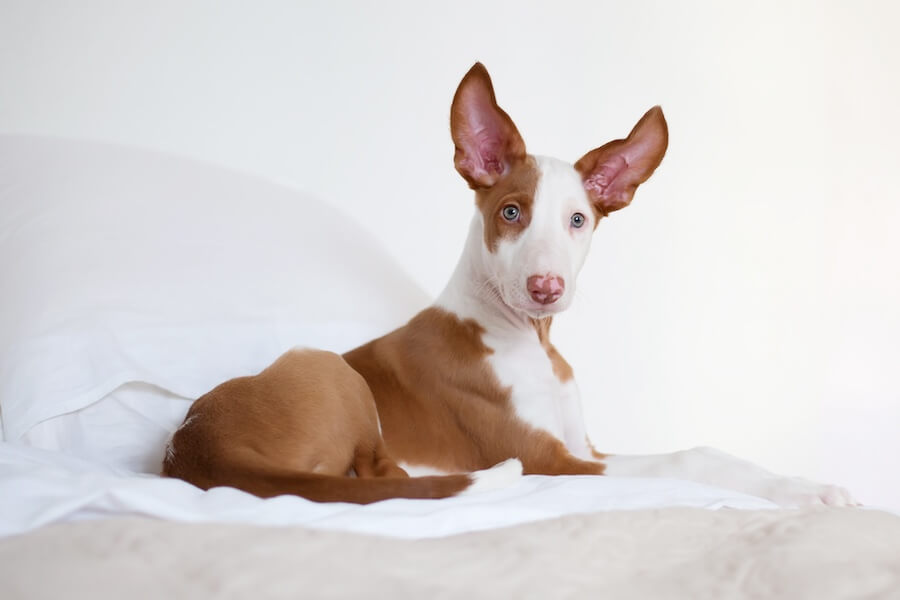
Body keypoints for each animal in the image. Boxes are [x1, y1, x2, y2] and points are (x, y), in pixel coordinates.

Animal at [162, 64, 856, 506]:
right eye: (511, 212)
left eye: (578, 220)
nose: (546, 287)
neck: (529, 340)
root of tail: (194, 448)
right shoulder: (556, 461)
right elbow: (689, 458)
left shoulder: (584, 447)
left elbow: (708, 450)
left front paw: (806, 486)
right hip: (328, 367)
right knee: (379, 477)